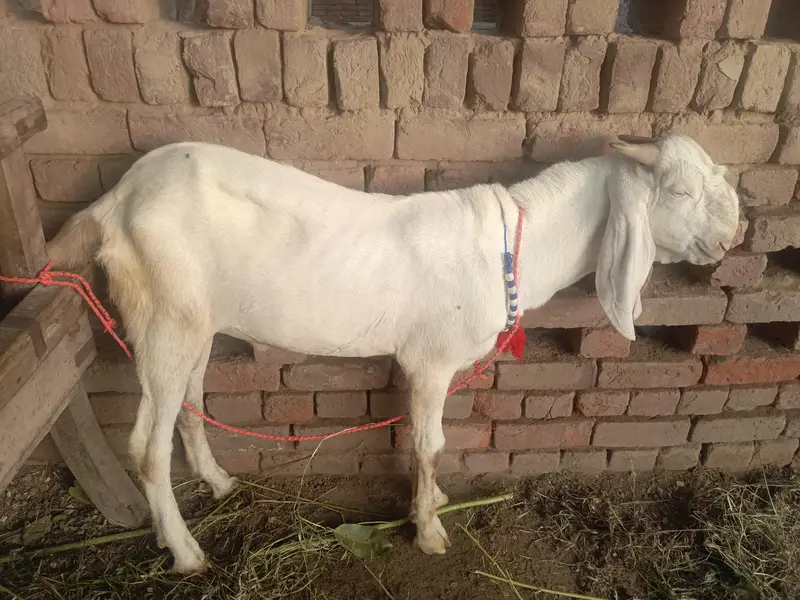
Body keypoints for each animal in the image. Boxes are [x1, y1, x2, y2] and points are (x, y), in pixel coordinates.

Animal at [47, 134, 740, 573]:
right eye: (680, 193)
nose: (733, 236)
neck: (510, 246)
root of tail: (116, 200)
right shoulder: (430, 360)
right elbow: (429, 445)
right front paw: (430, 531)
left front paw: (432, 505)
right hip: (163, 313)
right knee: (145, 445)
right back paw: (187, 554)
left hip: (194, 319)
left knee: (189, 403)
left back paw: (218, 483)